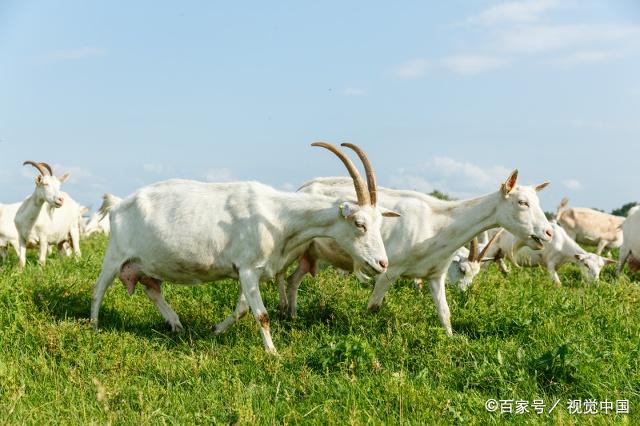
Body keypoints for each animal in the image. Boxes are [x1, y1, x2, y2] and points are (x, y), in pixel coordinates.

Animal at [90, 143, 400, 352]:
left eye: (379, 222)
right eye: (359, 224)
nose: (382, 263)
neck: (278, 216)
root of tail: (118, 204)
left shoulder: (249, 271)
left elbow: (241, 309)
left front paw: (216, 331)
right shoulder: (249, 268)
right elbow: (261, 314)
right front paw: (273, 353)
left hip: (144, 263)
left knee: (152, 290)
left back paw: (176, 324)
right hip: (115, 254)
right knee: (98, 289)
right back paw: (93, 325)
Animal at [282, 171, 552, 336]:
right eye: (522, 203)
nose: (548, 233)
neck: (437, 222)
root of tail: (302, 188)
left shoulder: (435, 275)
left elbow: (445, 313)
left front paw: (452, 340)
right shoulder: (389, 270)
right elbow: (373, 306)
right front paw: (362, 333)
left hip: (312, 255)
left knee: (293, 279)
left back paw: (292, 316)